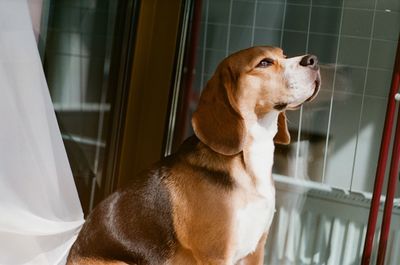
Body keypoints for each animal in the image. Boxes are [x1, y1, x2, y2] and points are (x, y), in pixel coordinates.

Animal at [67, 46, 320, 262]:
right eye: (264, 62)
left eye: (284, 54)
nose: (313, 60)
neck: (249, 160)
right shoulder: (216, 255)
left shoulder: (255, 251)